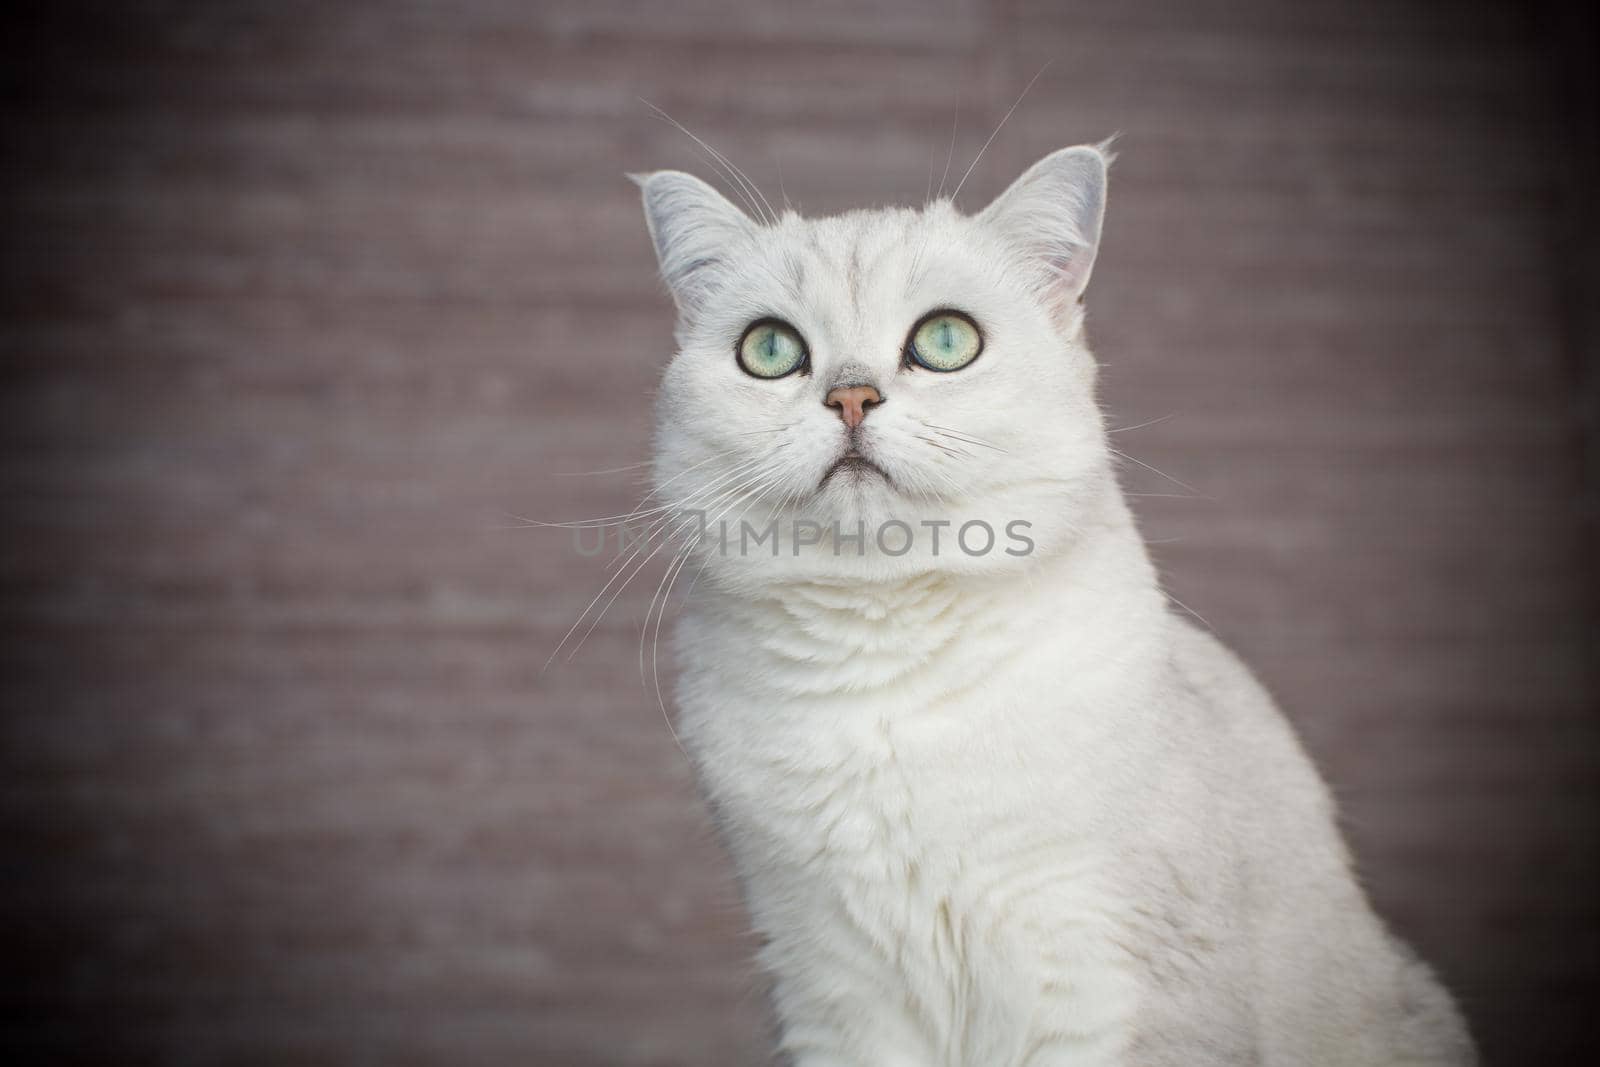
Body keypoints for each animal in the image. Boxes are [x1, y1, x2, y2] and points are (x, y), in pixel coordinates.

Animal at [630, 143, 1478, 1067]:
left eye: (945, 340)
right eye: (772, 349)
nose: (850, 397)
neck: (882, 663)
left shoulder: (1104, 977)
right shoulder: (832, 987)